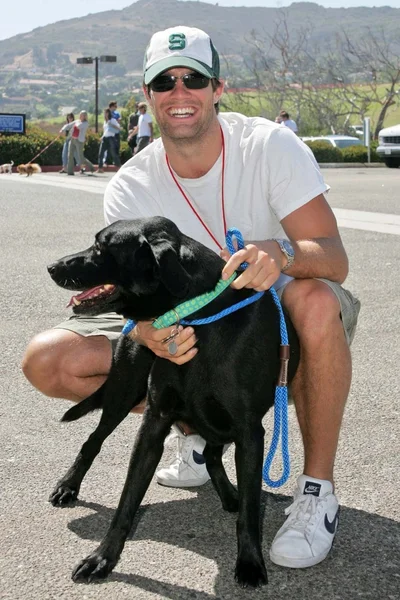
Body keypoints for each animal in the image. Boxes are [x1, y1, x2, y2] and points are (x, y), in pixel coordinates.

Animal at [47, 216, 298, 584]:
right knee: (93, 439)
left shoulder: (250, 432)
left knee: (212, 456)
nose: (52, 266)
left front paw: (250, 561)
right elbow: (126, 501)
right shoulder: (154, 423)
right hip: (123, 391)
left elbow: (250, 511)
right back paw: (67, 486)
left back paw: (230, 496)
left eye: (101, 247)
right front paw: (102, 558)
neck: (201, 314)